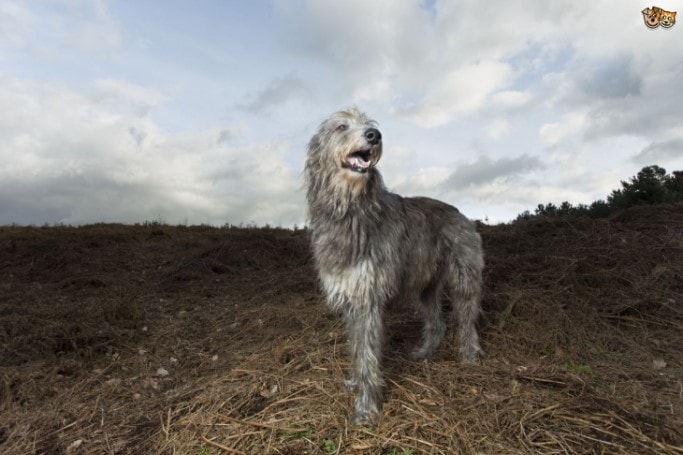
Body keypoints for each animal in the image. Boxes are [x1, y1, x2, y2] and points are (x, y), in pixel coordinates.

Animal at [304, 108, 486, 428]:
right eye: (341, 126)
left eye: (369, 125)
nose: (374, 135)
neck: (352, 210)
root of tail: (460, 213)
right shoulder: (352, 300)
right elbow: (357, 348)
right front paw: (355, 383)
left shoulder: (368, 300)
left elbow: (368, 355)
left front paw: (366, 408)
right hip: (425, 285)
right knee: (437, 322)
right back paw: (425, 352)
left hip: (464, 277)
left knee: (466, 321)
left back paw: (469, 357)